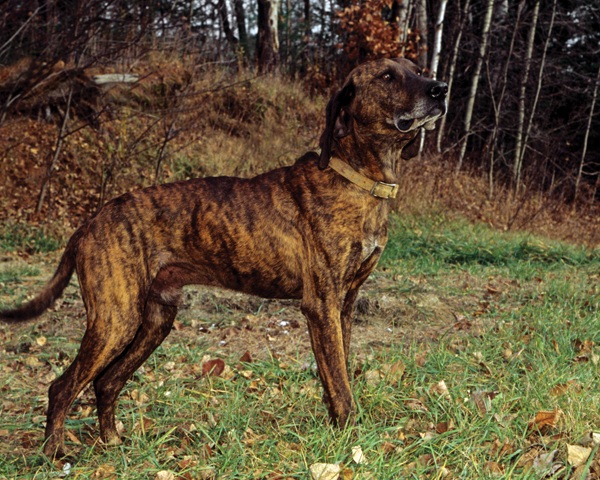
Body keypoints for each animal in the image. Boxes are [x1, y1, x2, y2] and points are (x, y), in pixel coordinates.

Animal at [0, 58, 446, 460]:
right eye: (387, 76)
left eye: (415, 67)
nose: (440, 89)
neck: (357, 179)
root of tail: (90, 221)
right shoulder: (322, 305)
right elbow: (340, 382)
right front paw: (353, 441)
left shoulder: (345, 305)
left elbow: (336, 375)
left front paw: (337, 432)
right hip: (116, 319)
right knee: (62, 386)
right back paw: (55, 454)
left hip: (155, 319)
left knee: (106, 383)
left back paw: (112, 443)